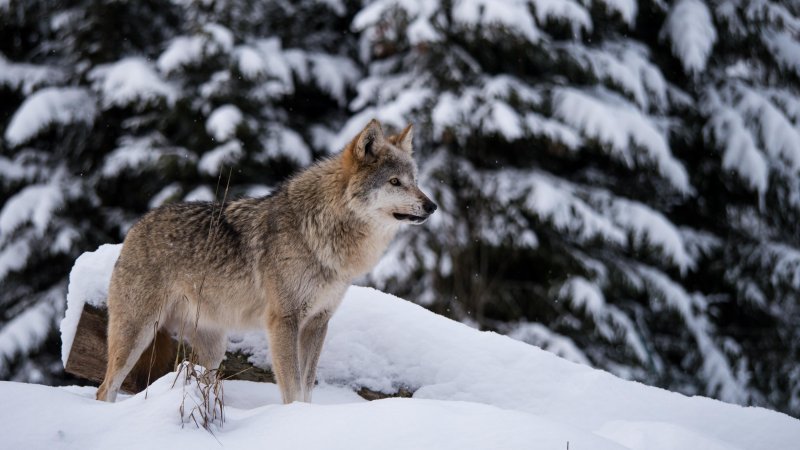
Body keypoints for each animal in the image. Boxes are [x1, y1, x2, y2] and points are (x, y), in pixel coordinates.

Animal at [97, 119, 440, 404]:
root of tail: (136, 227)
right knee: (105, 388)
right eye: (395, 182)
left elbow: (307, 386)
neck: (319, 231)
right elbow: (293, 387)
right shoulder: (284, 321)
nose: (432, 206)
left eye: (414, 180)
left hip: (213, 349)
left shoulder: (318, 322)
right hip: (138, 334)